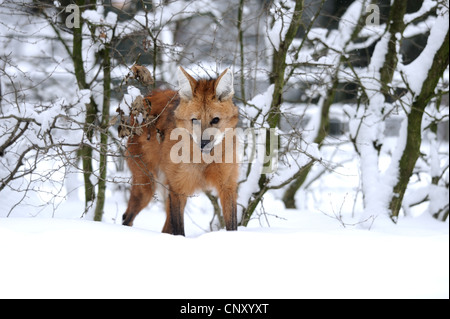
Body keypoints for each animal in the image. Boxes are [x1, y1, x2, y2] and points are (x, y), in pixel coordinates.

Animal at [119, 67, 239, 236]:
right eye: (195, 120)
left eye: (215, 120)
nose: (203, 143)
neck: (203, 161)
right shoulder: (178, 188)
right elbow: (179, 230)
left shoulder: (227, 186)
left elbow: (232, 227)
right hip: (147, 185)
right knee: (127, 217)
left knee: (164, 228)